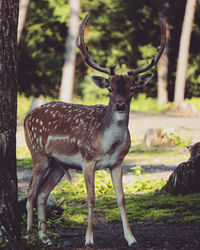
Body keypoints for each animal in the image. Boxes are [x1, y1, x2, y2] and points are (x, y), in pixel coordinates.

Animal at [24, 13, 166, 246]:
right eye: (109, 89)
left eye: (131, 89)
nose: (120, 105)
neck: (108, 144)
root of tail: (27, 117)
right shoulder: (87, 159)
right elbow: (91, 199)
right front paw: (89, 240)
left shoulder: (117, 162)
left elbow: (122, 199)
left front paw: (131, 238)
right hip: (38, 153)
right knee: (30, 192)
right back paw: (29, 236)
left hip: (58, 164)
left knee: (43, 194)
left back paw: (45, 238)